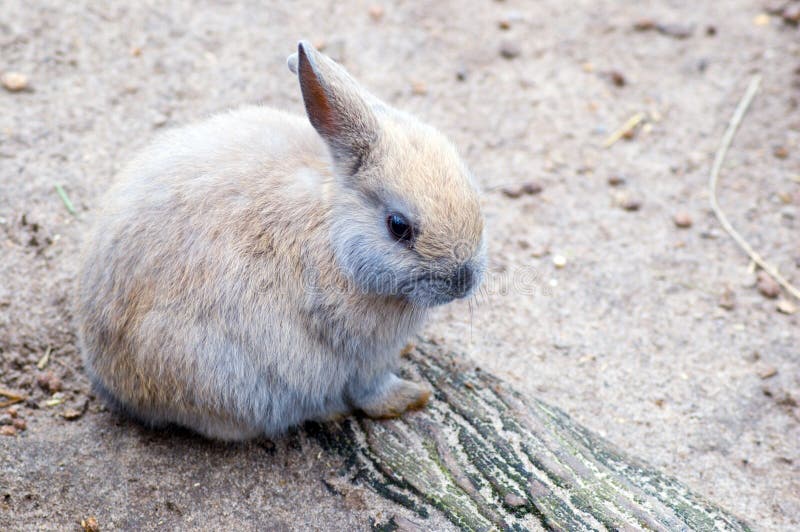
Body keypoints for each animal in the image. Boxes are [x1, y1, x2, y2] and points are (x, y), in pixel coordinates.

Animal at [76, 41, 486, 441]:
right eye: (398, 226)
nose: (463, 281)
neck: (334, 229)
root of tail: (112, 383)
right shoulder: (361, 356)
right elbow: (371, 391)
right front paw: (413, 397)